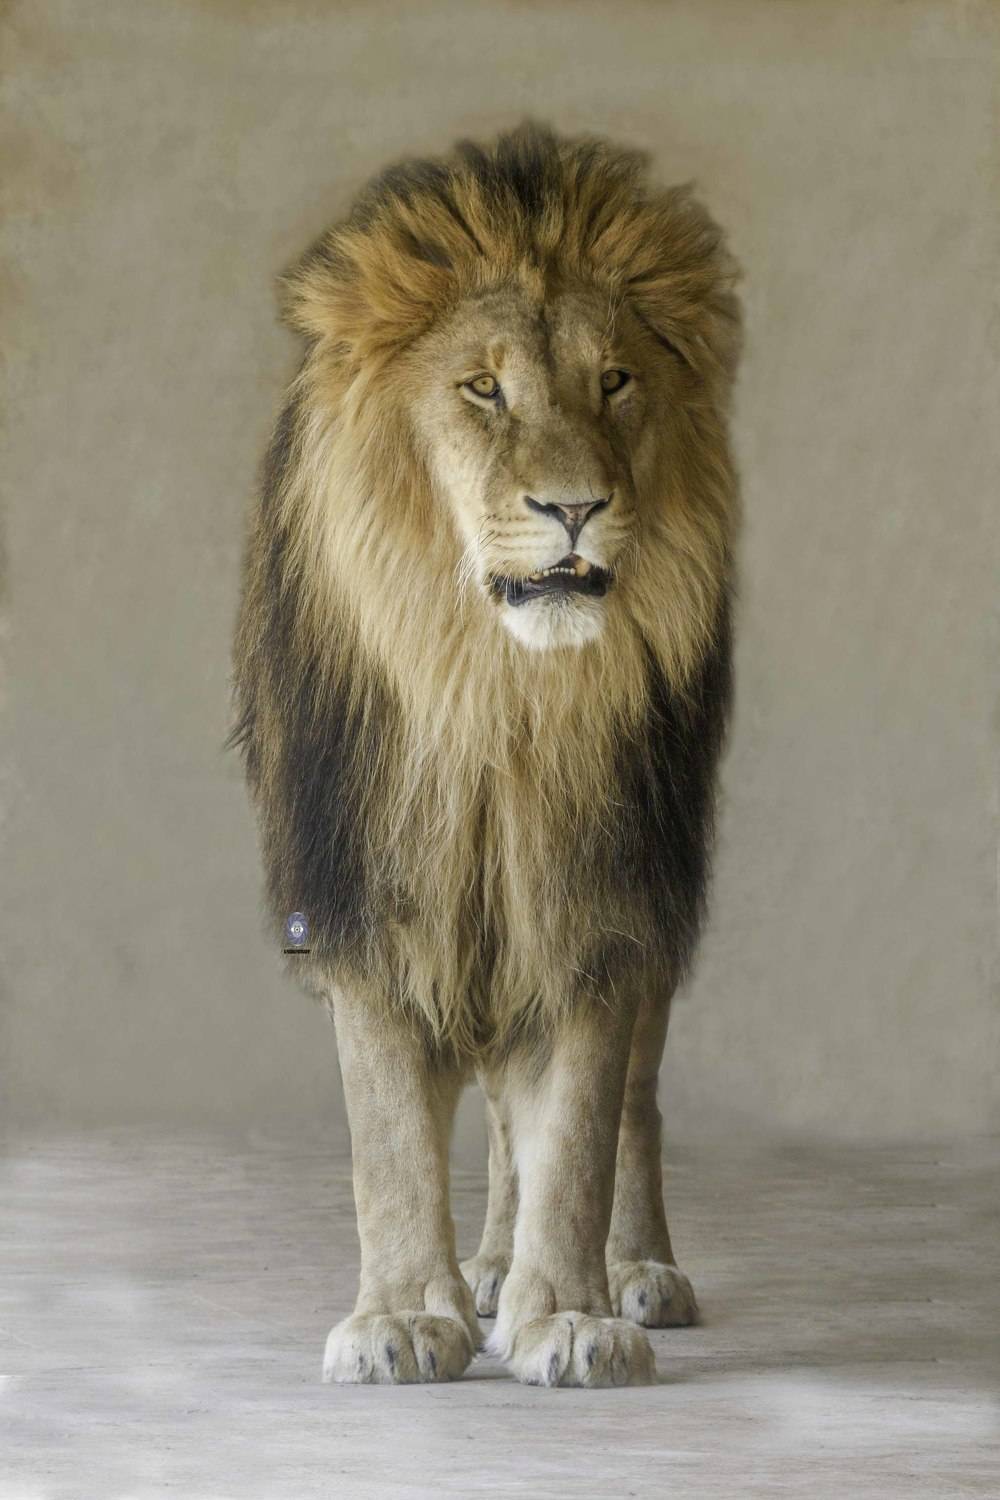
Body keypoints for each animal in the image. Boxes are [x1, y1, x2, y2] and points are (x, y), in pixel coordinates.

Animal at [230, 121, 741, 1388]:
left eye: (615, 381)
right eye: (482, 388)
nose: (576, 507)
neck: (495, 696)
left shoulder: (598, 896)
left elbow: (581, 1134)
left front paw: (569, 1317)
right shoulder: (365, 897)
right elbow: (389, 1139)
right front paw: (404, 1317)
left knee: (630, 1105)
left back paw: (627, 1271)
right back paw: (496, 1269)